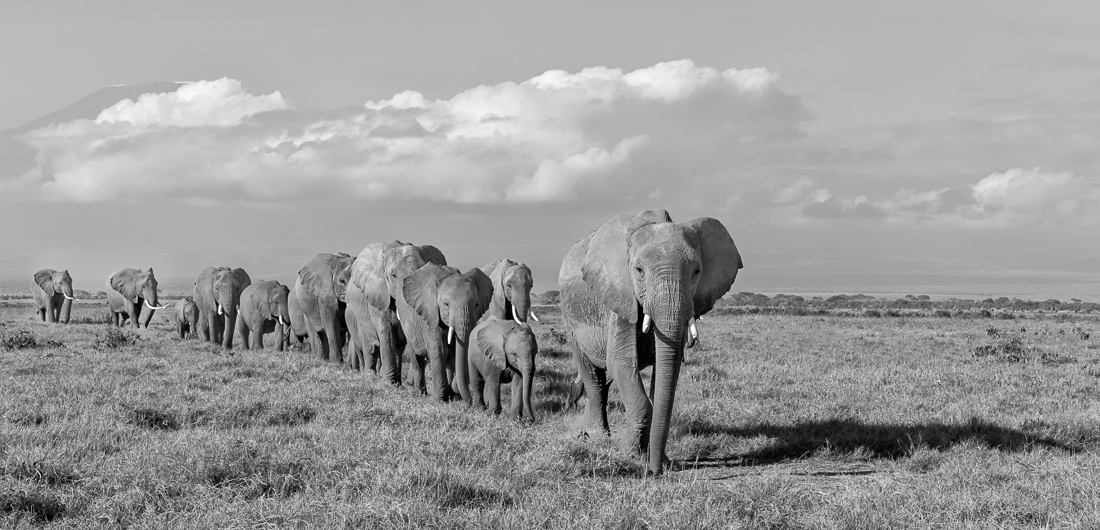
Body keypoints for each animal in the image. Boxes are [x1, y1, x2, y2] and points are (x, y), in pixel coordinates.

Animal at [346, 242, 446, 385]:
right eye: (393, 276)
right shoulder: (379, 295)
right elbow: (386, 331)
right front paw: (389, 383)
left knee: (399, 348)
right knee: (370, 346)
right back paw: (370, 376)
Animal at [398, 262, 493, 402]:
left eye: (476, 305)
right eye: (446, 304)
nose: (470, 403)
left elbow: (455, 352)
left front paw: (453, 396)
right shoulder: (430, 314)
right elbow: (440, 350)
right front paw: (439, 399)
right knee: (417, 358)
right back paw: (419, 393)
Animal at [558, 209, 742, 476]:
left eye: (697, 272)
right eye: (639, 270)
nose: (656, 471)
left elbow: (664, 370)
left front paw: (653, 457)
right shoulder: (621, 295)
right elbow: (622, 363)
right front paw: (630, 454)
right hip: (570, 319)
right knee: (593, 376)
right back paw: (594, 436)